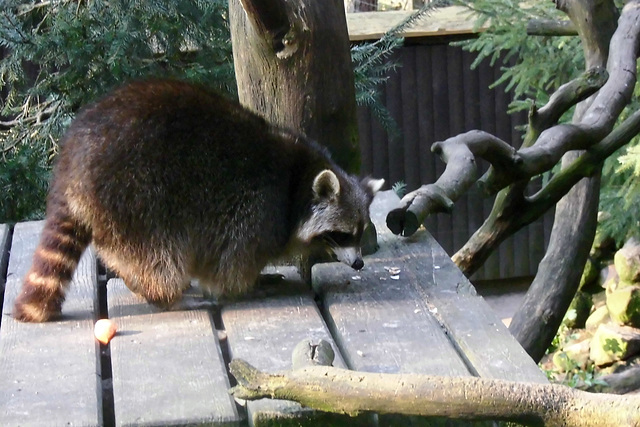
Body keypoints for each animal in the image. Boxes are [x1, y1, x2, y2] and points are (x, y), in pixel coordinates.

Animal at [13, 79, 384, 324]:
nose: (358, 264)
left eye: (359, 232)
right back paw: (164, 295)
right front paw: (250, 284)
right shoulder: (254, 209)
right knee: (158, 252)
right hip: (135, 193)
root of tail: (71, 165)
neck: (298, 183)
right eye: (342, 234)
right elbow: (232, 263)